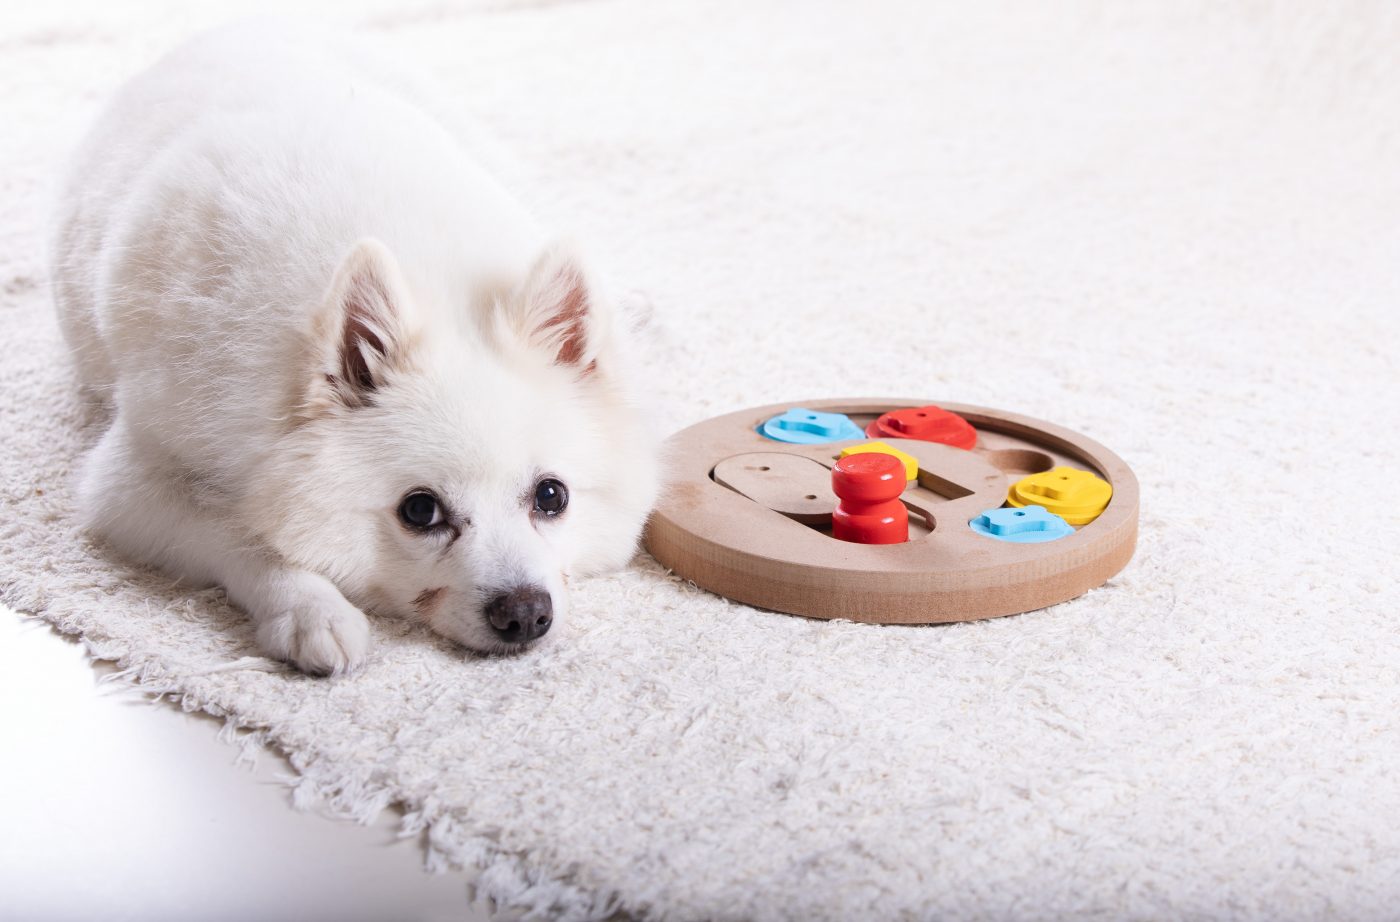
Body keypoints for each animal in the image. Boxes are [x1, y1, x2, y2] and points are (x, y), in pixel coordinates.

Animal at [50, 19, 660, 671]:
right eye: (420, 511)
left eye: (551, 496)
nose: (524, 613)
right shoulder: (131, 478)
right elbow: (239, 531)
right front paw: (313, 610)